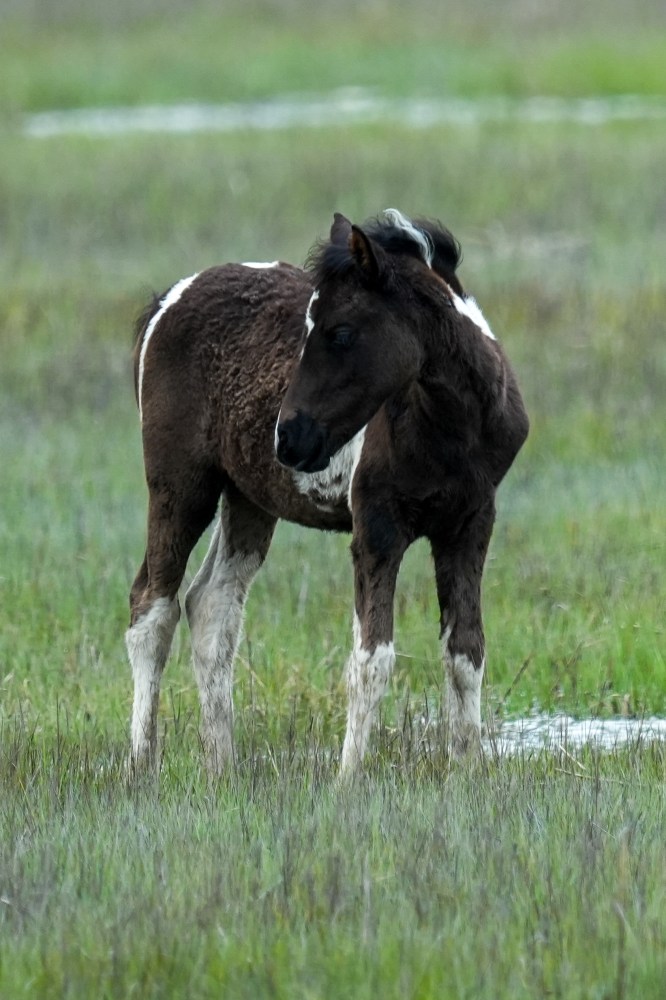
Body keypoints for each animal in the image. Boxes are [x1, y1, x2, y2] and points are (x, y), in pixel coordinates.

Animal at [126, 208, 529, 775]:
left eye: (340, 332)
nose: (289, 436)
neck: (451, 428)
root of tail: (171, 297)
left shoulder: (470, 524)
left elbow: (466, 654)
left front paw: (468, 773)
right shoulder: (376, 529)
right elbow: (371, 660)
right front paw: (349, 779)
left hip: (249, 498)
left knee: (211, 606)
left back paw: (223, 768)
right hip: (181, 484)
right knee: (151, 609)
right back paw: (142, 765)